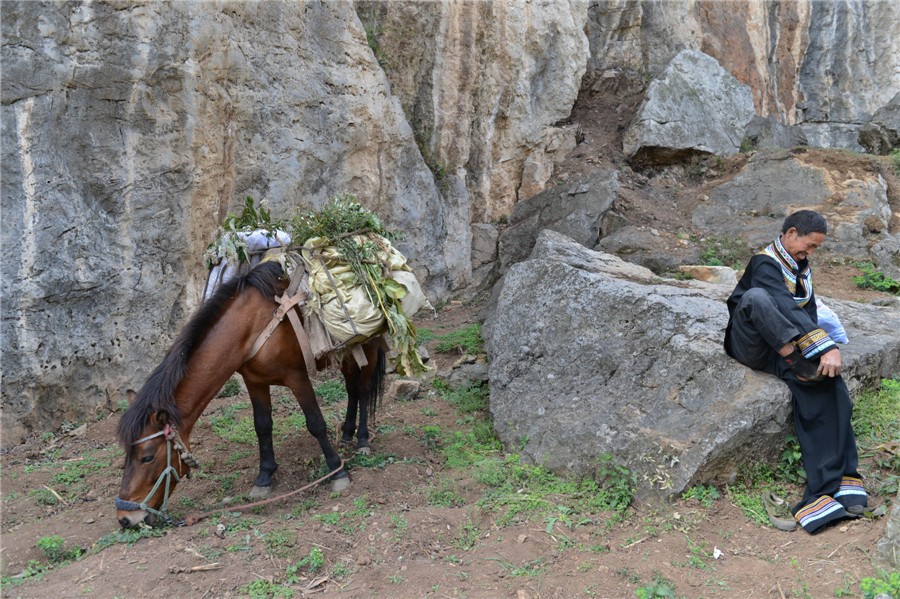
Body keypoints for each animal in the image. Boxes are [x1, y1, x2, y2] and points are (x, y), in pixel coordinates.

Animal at [115, 264, 384, 528]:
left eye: (147, 457)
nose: (125, 519)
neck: (251, 325)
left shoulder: (297, 378)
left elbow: (316, 423)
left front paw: (337, 471)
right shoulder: (254, 382)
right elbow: (262, 426)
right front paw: (264, 477)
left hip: (370, 345)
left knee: (362, 389)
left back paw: (362, 441)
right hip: (347, 353)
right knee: (351, 389)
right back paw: (347, 434)